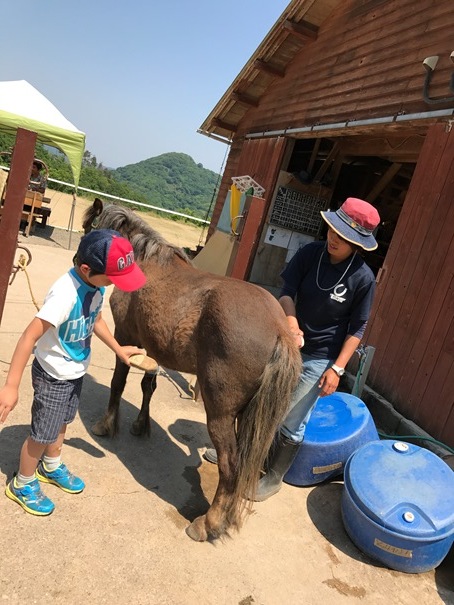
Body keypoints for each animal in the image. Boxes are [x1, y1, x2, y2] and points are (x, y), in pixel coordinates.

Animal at [81, 199, 302, 544]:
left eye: (89, 230)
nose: (77, 263)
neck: (146, 263)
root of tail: (279, 328)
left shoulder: (125, 336)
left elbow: (118, 382)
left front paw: (106, 424)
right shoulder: (153, 350)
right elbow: (148, 386)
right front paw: (141, 425)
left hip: (220, 412)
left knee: (230, 466)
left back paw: (206, 523)